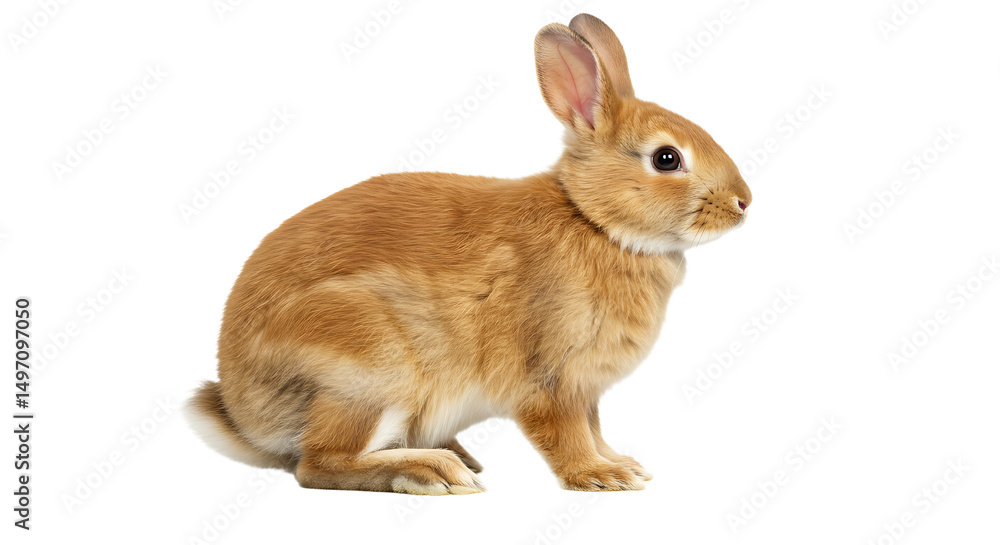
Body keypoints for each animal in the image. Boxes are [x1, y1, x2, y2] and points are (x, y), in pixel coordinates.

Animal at [186, 13, 751, 495]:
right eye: (667, 158)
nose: (744, 202)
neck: (594, 221)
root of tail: (242, 412)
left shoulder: (586, 389)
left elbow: (594, 427)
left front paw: (620, 462)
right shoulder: (551, 378)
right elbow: (566, 433)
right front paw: (600, 476)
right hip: (368, 365)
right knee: (320, 462)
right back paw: (433, 471)